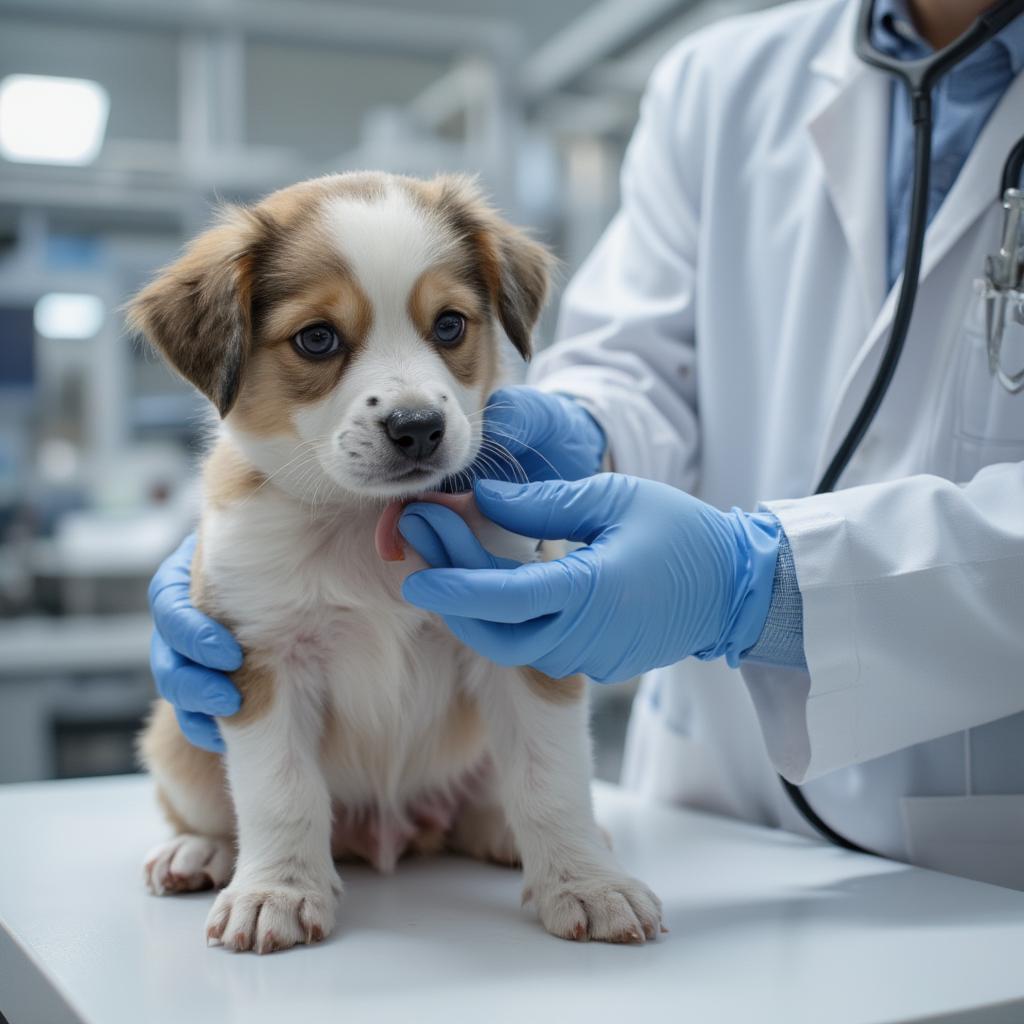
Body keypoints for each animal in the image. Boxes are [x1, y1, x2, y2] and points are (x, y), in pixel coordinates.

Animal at [130, 172, 663, 954]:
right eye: (317, 338)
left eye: (449, 326)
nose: (417, 427)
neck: (366, 522)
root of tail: (389, 835)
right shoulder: (262, 659)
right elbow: (280, 791)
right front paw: (277, 890)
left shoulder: (523, 638)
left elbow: (552, 778)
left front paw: (586, 882)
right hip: (177, 735)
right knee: (211, 808)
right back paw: (200, 852)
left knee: (491, 800)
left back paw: (508, 833)